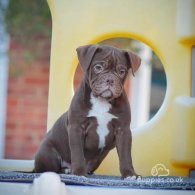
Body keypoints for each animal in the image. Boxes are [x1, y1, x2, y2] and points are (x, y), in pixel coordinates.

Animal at [34, 44, 141, 178]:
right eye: (98, 67)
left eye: (122, 71)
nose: (110, 80)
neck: (101, 100)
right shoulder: (76, 128)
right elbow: (78, 153)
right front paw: (79, 173)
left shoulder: (123, 130)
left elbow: (125, 155)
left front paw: (129, 174)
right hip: (48, 153)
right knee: (49, 169)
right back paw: (68, 170)